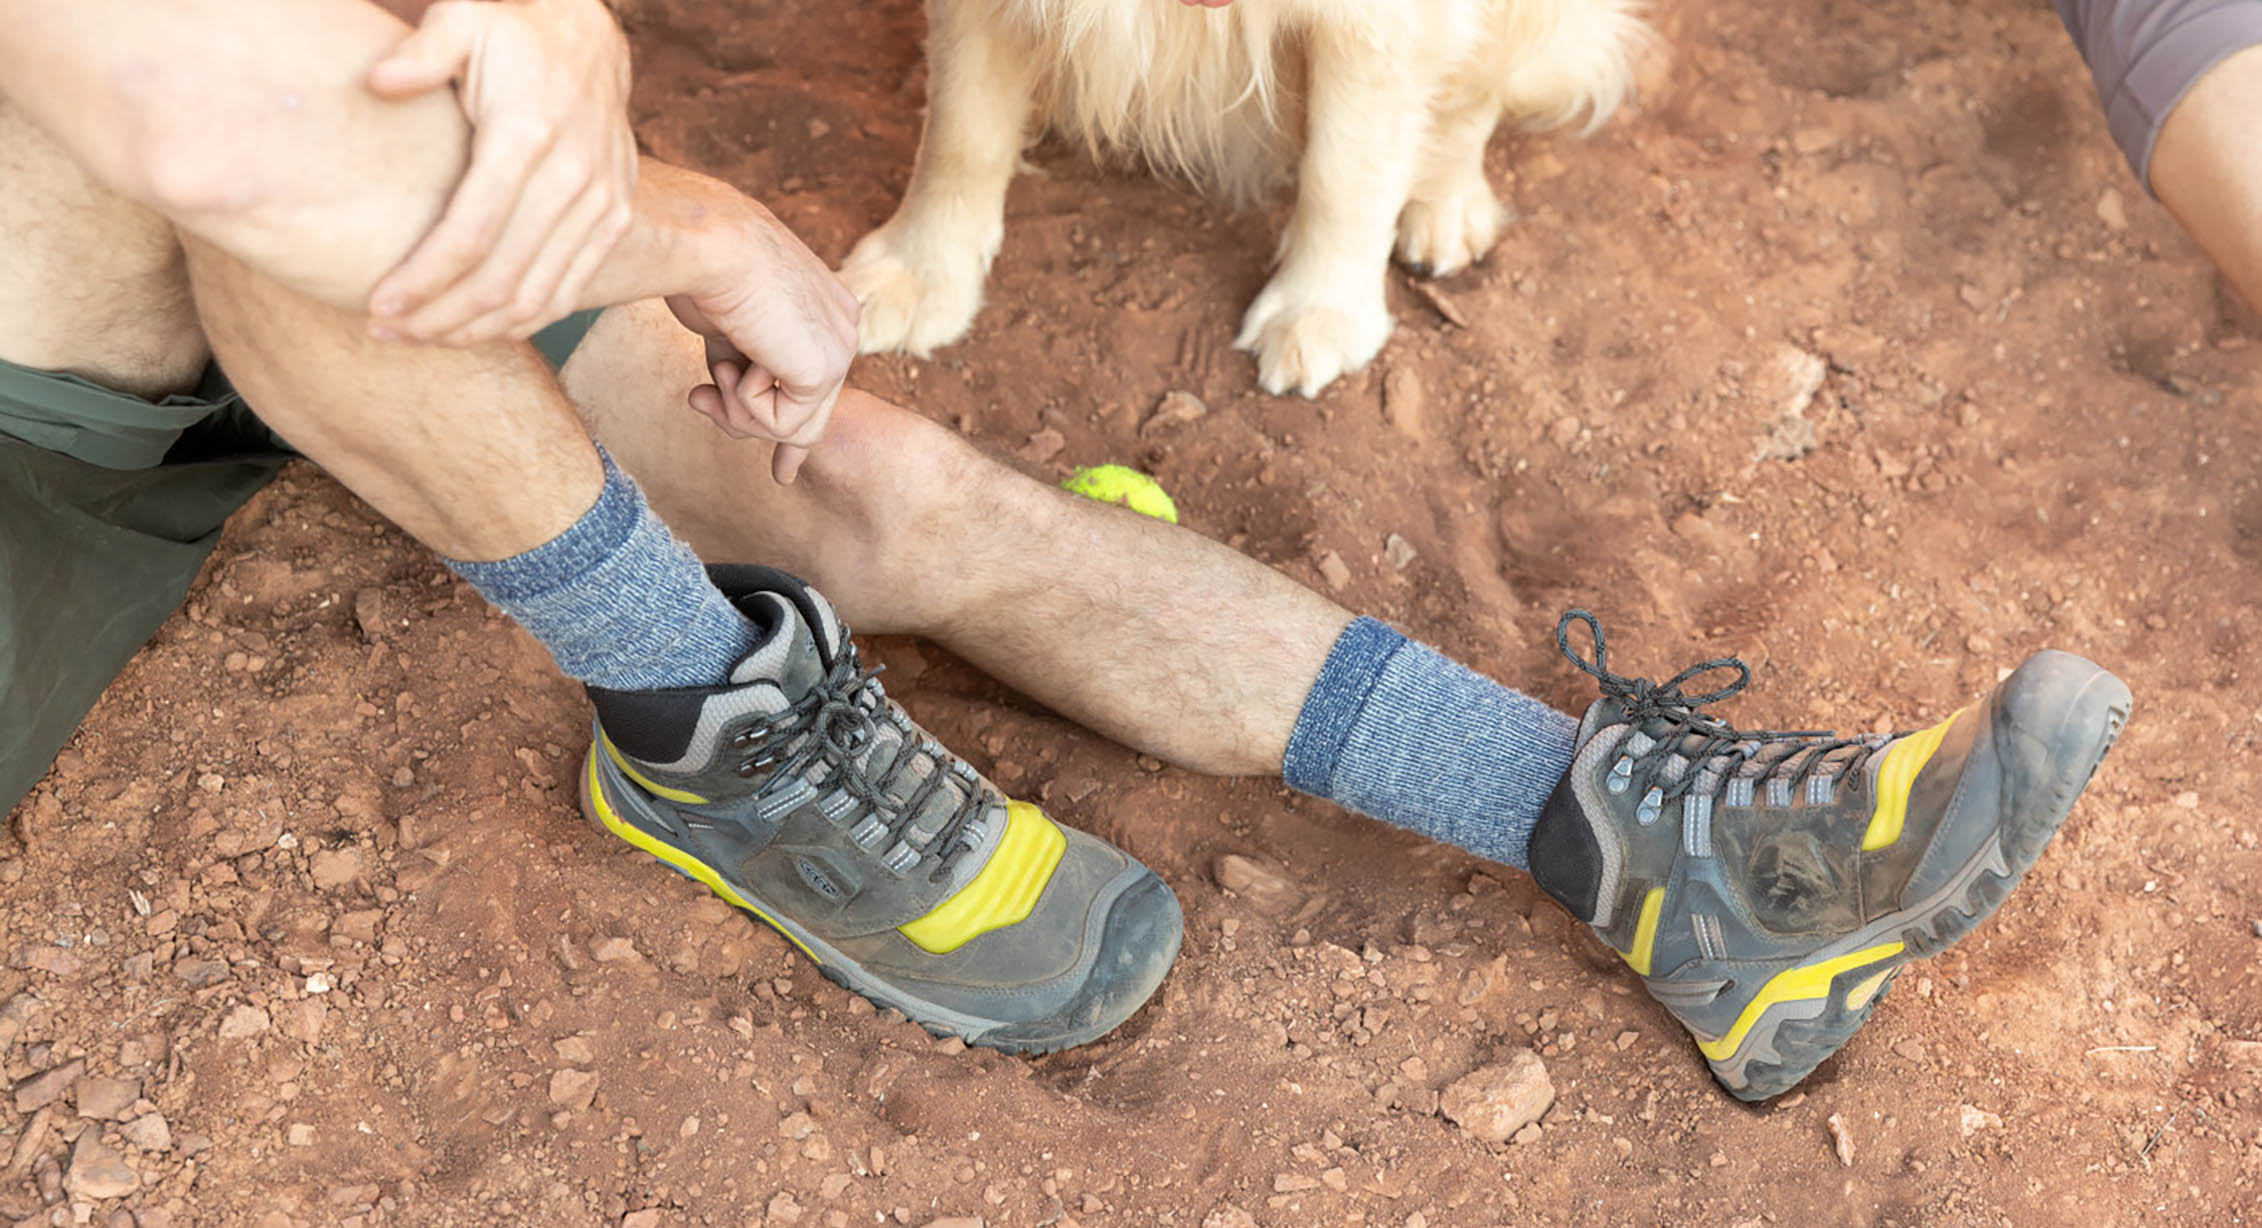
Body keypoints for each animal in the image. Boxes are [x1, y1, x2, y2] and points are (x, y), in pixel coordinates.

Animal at [841, 0, 1655, 395]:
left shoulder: (1378, 25)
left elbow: (1345, 173)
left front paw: (1321, 310)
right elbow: (962, 129)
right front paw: (921, 271)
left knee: (1472, 99)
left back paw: (1442, 204)